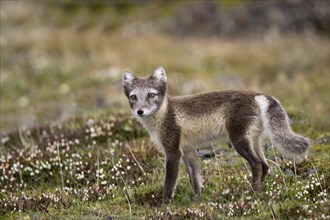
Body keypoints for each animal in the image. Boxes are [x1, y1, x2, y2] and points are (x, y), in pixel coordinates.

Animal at [121, 66, 310, 204]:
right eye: (133, 97)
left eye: (151, 95)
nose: (140, 111)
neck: (164, 113)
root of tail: (258, 95)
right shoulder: (188, 151)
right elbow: (196, 179)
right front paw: (197, 200)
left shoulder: (173, 152)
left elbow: (169, 184)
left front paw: (164, 205)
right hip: (254, 140)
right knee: (265, 165)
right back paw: (259, 190)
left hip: (238, 140)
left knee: (256, 165)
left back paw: (252, 193)